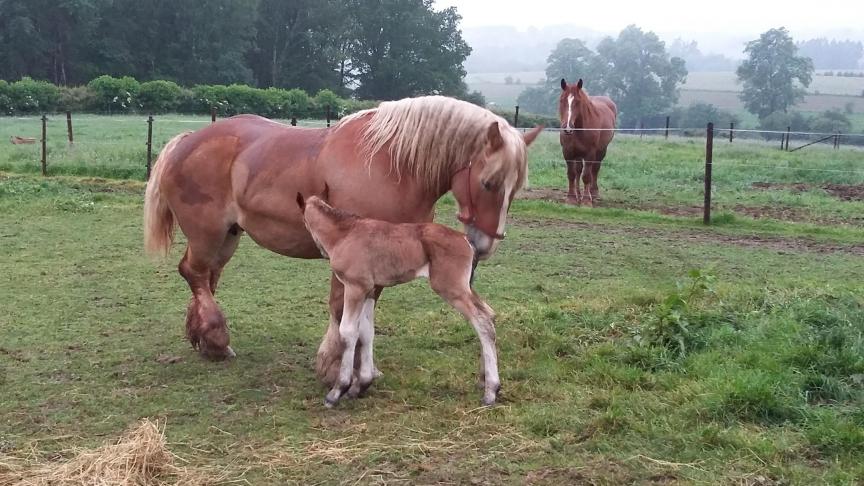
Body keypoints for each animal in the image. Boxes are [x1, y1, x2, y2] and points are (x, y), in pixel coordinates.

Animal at [145, 97, 544, 388]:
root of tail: (187, 140)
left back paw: (201, 336)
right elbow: (342, 310)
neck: (392, 164)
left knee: (205, 277)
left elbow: (367, 313)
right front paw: (334, 365)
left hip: (226, 237)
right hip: (208, 234)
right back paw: (215, 337)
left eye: (516, 189)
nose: (483, 246)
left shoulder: (381, 260)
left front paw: (361, 367)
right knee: (195, 273)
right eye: (489, 183)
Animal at [556, 77, 616, 205]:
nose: (567, 128)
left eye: (578, 102)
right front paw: (571, 198)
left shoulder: (590, 154)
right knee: (578, 170)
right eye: (561, 100)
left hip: (601, 151)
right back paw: (578, 194)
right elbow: (571, 174)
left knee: (595, 169)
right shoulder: (568, 152)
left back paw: (594, 193)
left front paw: (587, 200)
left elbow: (587, 176)